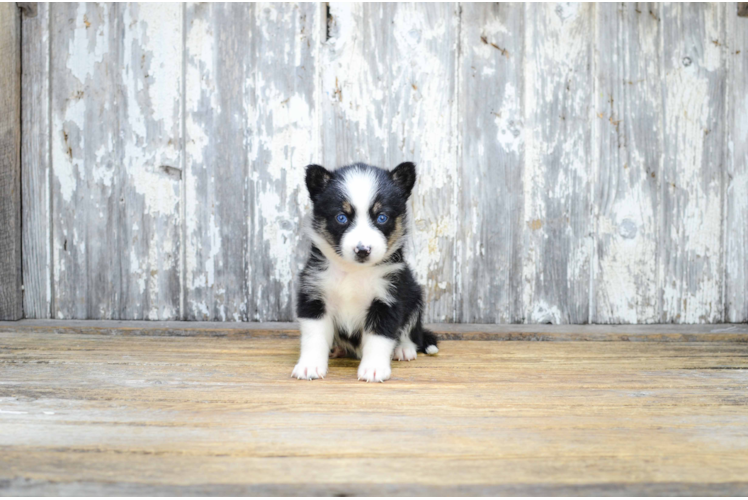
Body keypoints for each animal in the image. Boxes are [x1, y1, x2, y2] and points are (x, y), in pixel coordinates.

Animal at [292, 162, 438, 380]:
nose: (362, 250)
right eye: (341, 217)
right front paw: (310, 366)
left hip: (414, 296)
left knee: (411, 331)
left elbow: (379, 338)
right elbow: (314, 336)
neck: (354, 271)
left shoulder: (388, 299)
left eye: (382, 217)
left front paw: (374, 369)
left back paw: (403, 349)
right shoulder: (314, 297)